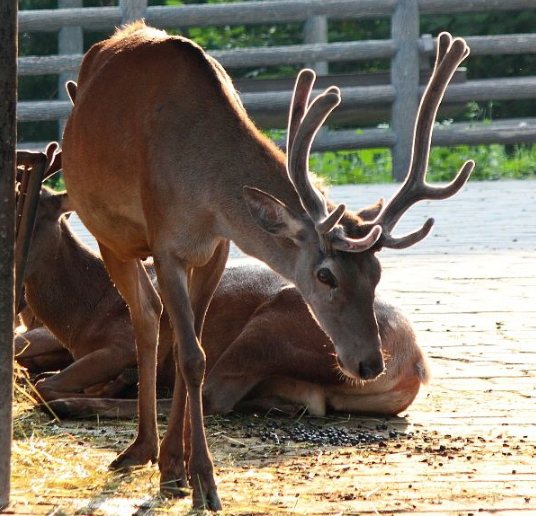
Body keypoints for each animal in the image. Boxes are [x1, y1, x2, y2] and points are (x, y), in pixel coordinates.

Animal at [13, 181, 428, 420]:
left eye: (26, 214)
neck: (84, 312)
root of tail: (414, 364)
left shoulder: (122, 341)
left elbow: (45, 382)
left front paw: (98, 385)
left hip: (268, 330)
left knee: (208, 397)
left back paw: (76, 404)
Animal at [61, 24, 474, 508]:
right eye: (325, 275)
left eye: (376, 274)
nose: (371, 363)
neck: (201, 188)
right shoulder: (165, 245)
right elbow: (192, 358)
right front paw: (203, 481)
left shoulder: (218, 247)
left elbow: (189, 351)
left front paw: (176, 470)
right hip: (111, 237)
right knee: (145, 319)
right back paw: (136, 447)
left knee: (155, 324)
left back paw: (149, 449)